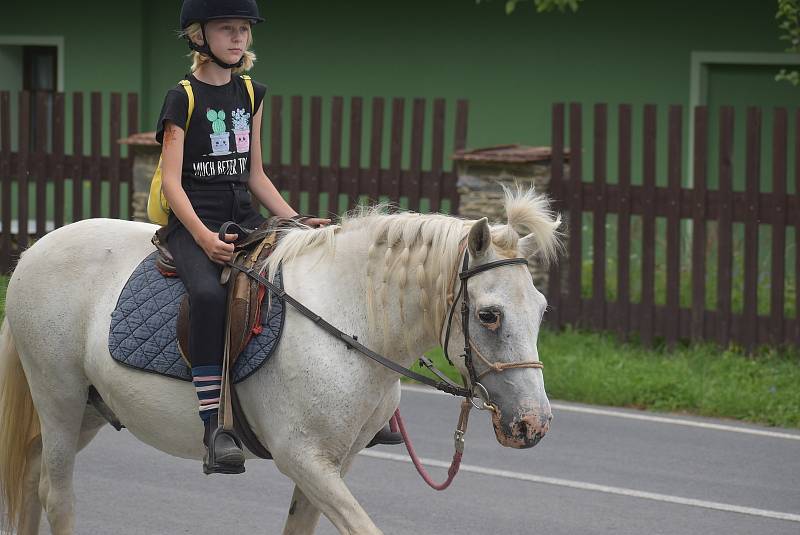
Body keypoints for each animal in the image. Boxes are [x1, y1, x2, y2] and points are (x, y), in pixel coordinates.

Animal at [0, 186, 564, 532]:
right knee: (55, 494)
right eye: (489, 315)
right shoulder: (304, 458)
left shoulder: (334, 464)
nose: (533, 424)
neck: (348, 316)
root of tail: (33, 250)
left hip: (90, 411)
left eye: (541, 309)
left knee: (29, 476)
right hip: (59, 399)